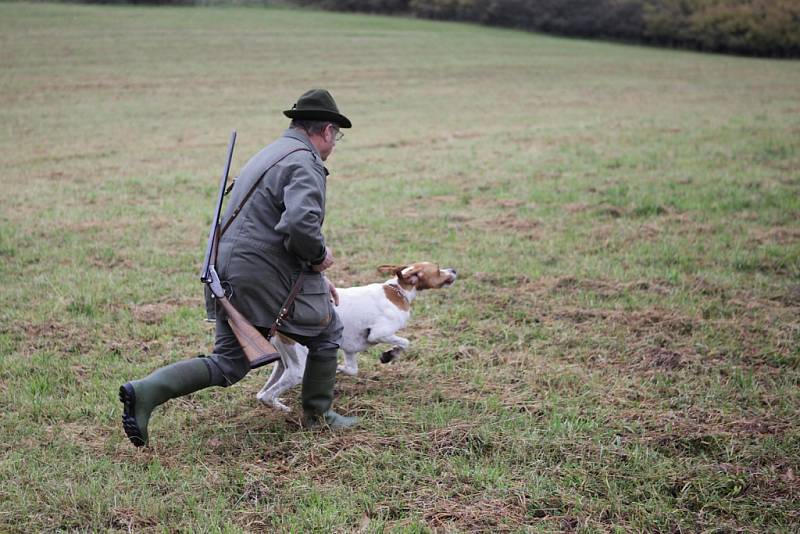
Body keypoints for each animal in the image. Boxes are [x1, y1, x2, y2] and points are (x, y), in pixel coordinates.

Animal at [256, 262, 456, 412]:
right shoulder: (379, 333)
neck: (397, 291)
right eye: (438, 269)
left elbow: (352, 369)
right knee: (267, 395)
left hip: (282, 362)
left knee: (262, 394)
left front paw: (340, 369)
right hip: (296, 368)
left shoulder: (350, 349)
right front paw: (389, 355)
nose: (454, 270)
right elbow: (405, 342)